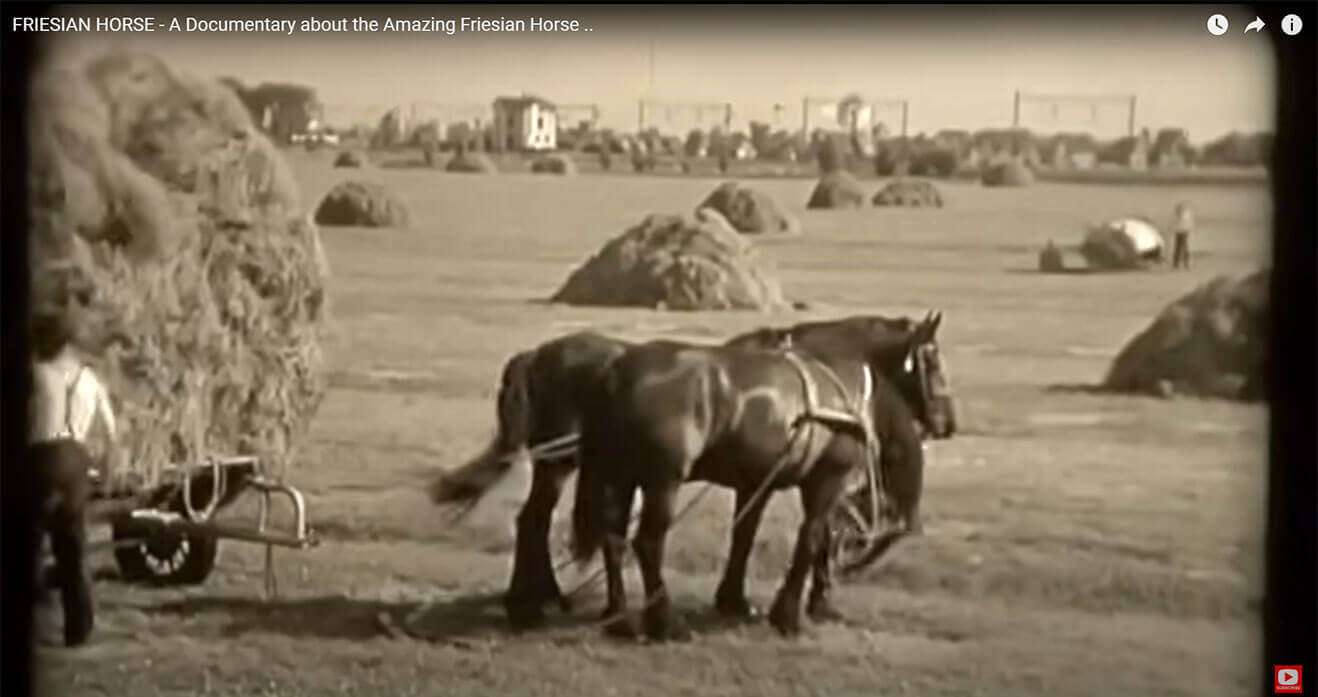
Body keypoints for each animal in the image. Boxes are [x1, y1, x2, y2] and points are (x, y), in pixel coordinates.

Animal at [430, 313, 955, 629]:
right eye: (933, 362)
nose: (948, 422)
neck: (828, 380)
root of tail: (540, 354)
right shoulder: (823, 479)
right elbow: (813, 538)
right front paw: (798, 609)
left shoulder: (756, 482)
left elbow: (744, 537)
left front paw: (737, 600)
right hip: (610, 470)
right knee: (616, 535)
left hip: (583, 468)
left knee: (565, 526)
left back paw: (559, 604)